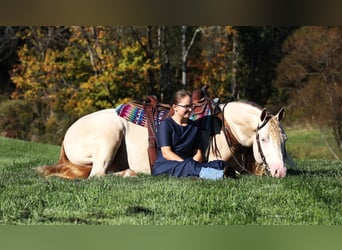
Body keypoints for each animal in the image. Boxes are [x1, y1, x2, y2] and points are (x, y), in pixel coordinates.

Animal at [37, 99, 288, 180]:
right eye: (263, 138)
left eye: (283, 139)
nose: (280, 171)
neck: (224, 128)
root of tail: (68, 133)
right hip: (110, 138)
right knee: (97, 174)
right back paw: (130, 173)